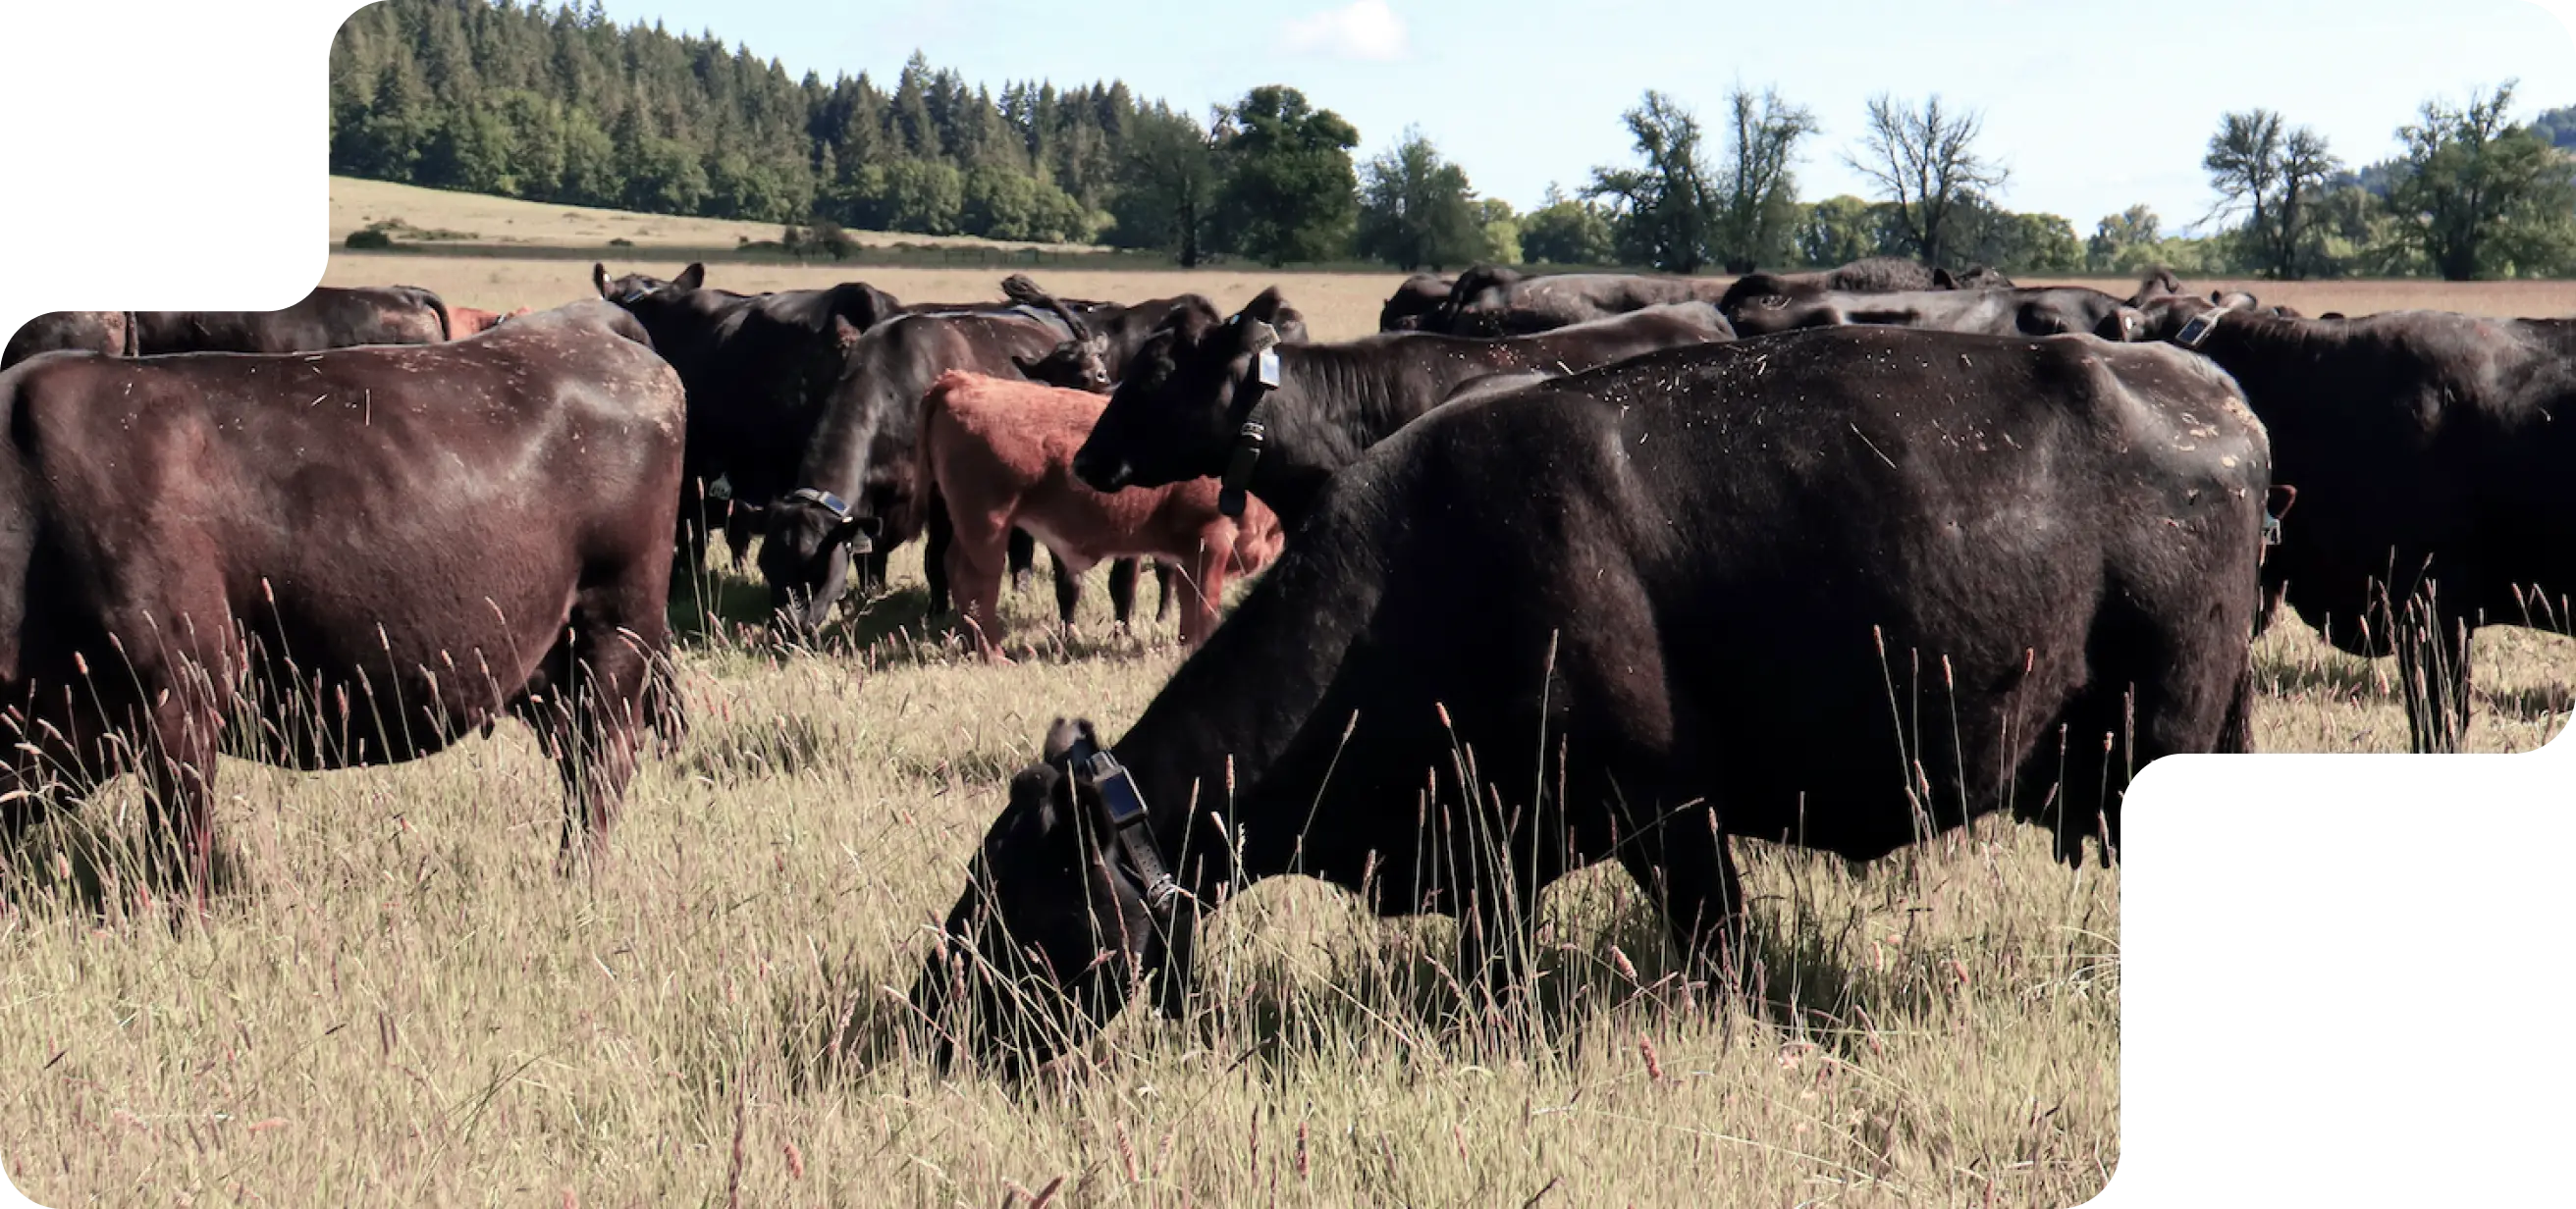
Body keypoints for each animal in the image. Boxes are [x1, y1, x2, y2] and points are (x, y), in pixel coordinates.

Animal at [915, 371, 1284, 659]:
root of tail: (963, 381)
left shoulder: (1187, 553)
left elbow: (1188, 608)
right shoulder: (1211, 540)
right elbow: (1203, 606)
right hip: (988, 525)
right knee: (977, 581)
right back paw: (994, 655)